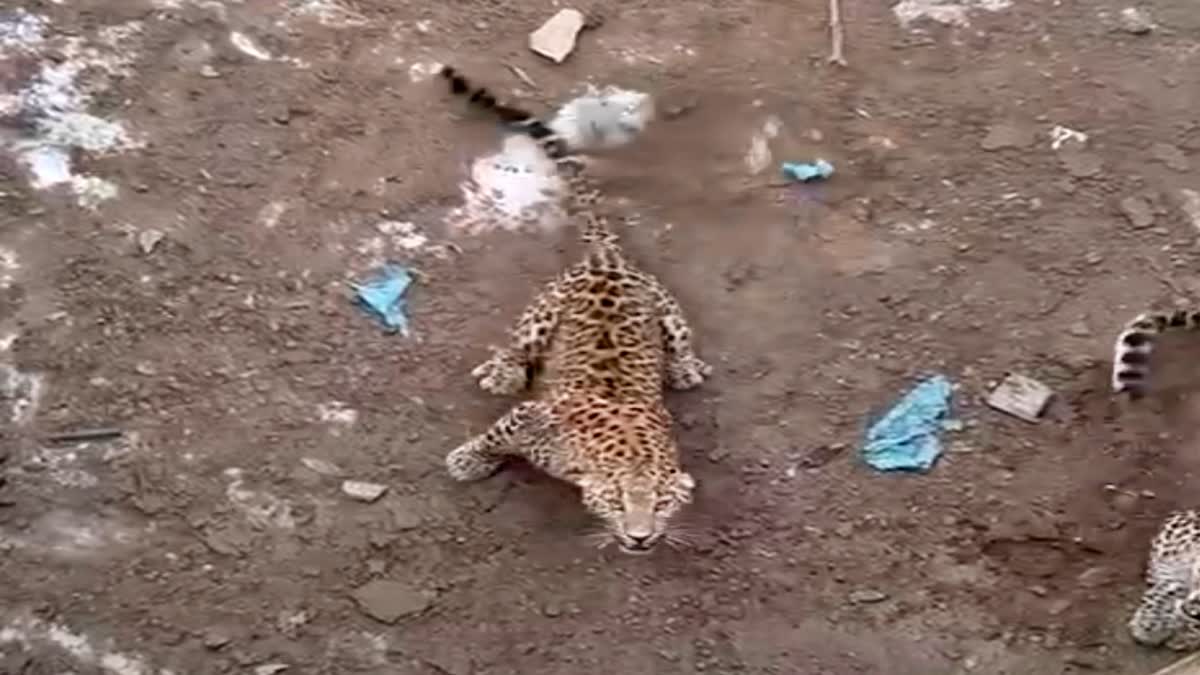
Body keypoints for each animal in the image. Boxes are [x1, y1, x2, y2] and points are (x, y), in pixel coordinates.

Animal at [439, 65, 710, 554]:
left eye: (662, 505)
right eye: (618, 502)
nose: (641, 538)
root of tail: (606, 256)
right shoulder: (531, 416)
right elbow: (493, 435)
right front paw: (467, 460)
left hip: (667, 307)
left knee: (679, 336)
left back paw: (685, 368)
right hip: (544, 310)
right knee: (519, 343)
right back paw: (501, 373)